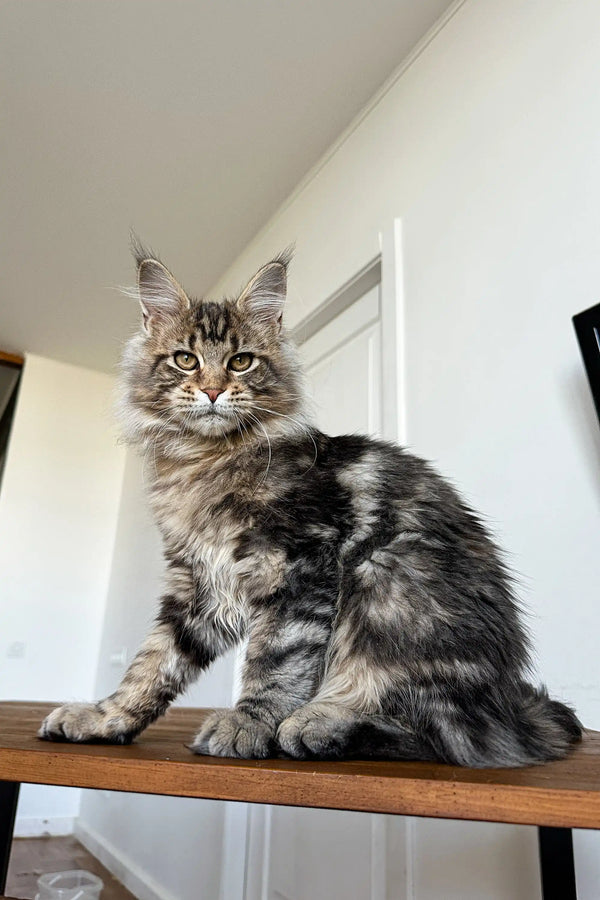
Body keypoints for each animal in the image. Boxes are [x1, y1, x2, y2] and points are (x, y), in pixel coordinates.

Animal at [38, 246, 580, 768]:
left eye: (241, 362)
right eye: (186, 360)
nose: (212, 390)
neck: (207, 462)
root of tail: (509, 703)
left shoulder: (299, 565)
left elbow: (276, 660)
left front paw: (249, 724)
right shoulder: (197, 583)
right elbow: (151, 665)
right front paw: (106, 718)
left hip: (387, 576)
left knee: (444, 736)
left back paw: (321, 724)